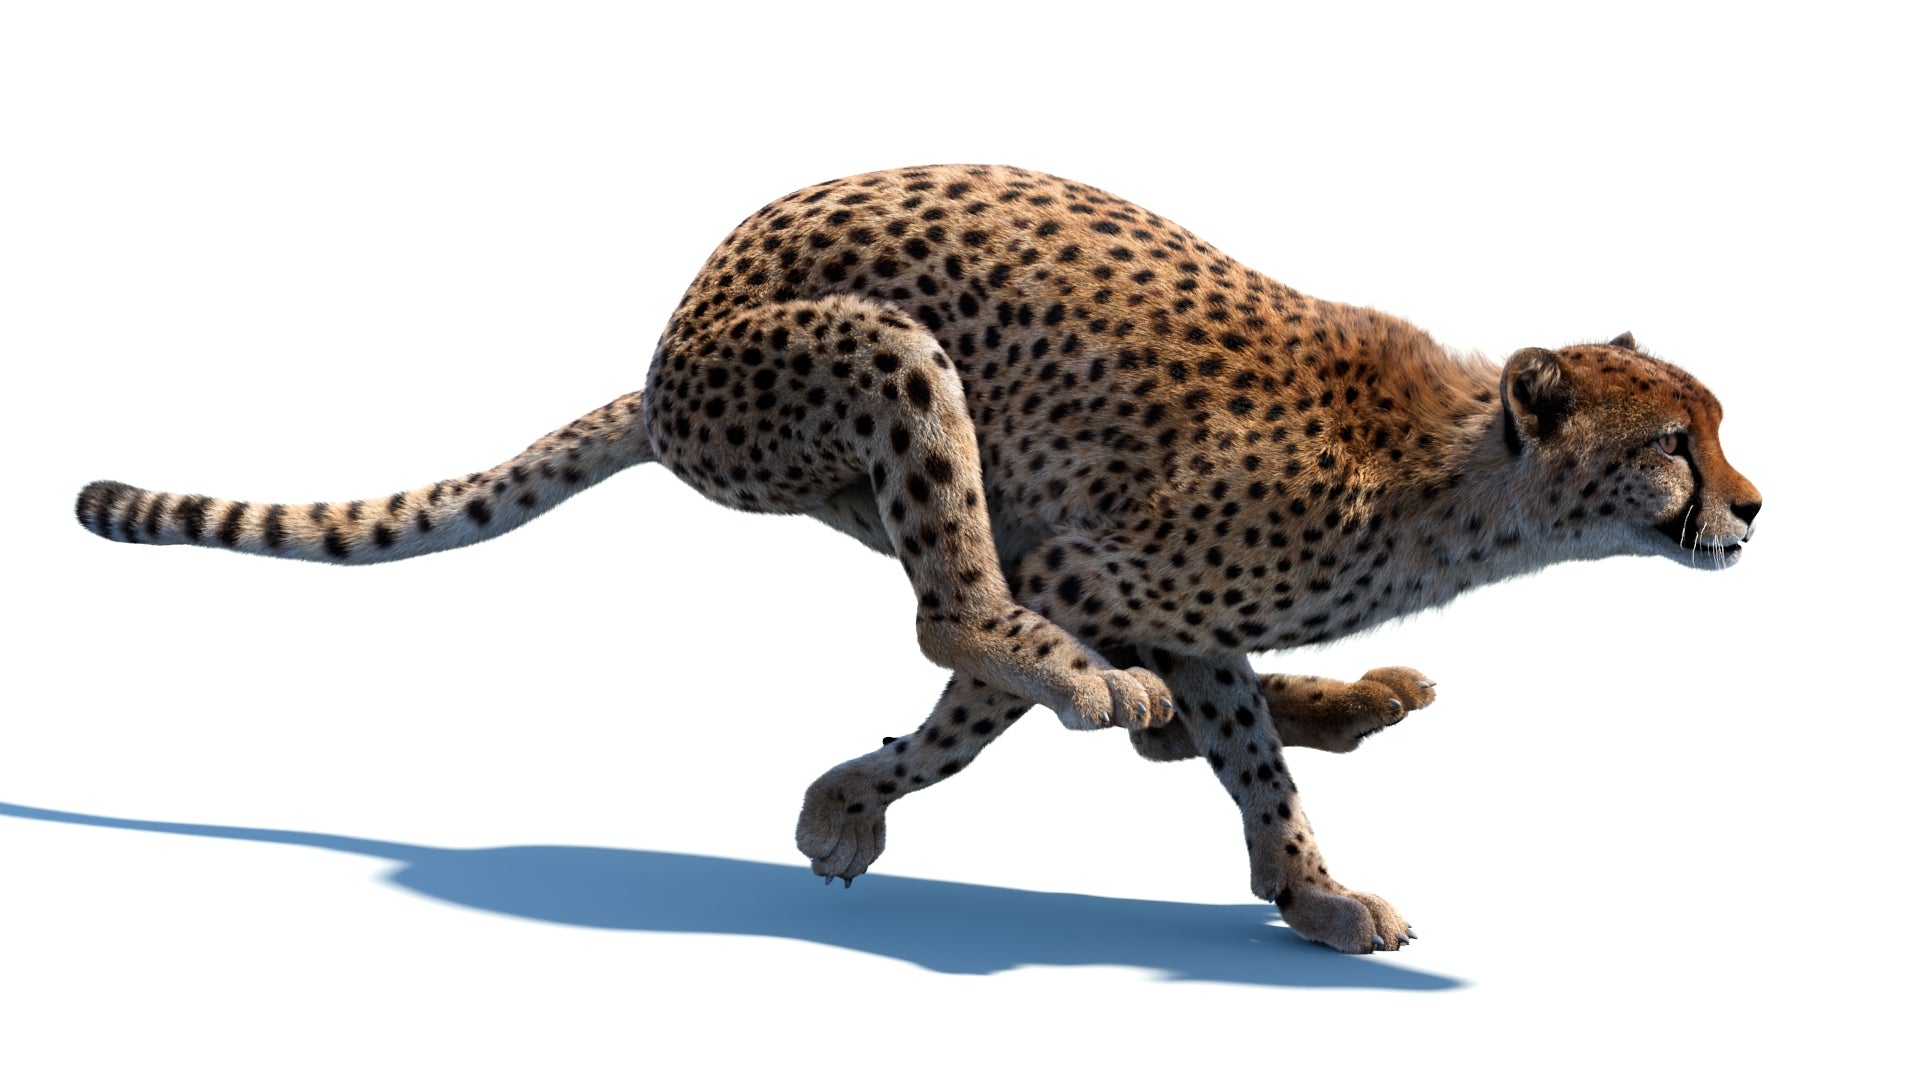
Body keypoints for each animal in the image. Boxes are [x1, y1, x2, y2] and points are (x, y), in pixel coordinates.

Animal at [74, 164, 1762, 954]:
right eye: (1678, 443)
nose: (1753, 509)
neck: (1456, 480)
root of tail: (668, 355)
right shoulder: (1090, 572)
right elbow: (980, 698)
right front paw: (849, 802)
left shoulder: (1167, 599)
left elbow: (1243, 758)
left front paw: (1311, 892)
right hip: (878, 361)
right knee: (958, 610)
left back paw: (1355, 703)